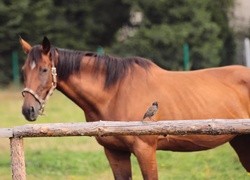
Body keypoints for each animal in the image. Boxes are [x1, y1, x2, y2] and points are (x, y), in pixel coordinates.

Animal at [20, 37, 249, 180]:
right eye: (23, 70)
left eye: (44, 70)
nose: (28, 110)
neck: (115, 92)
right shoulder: (115, 152)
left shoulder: (145, 150)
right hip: (240, 141)